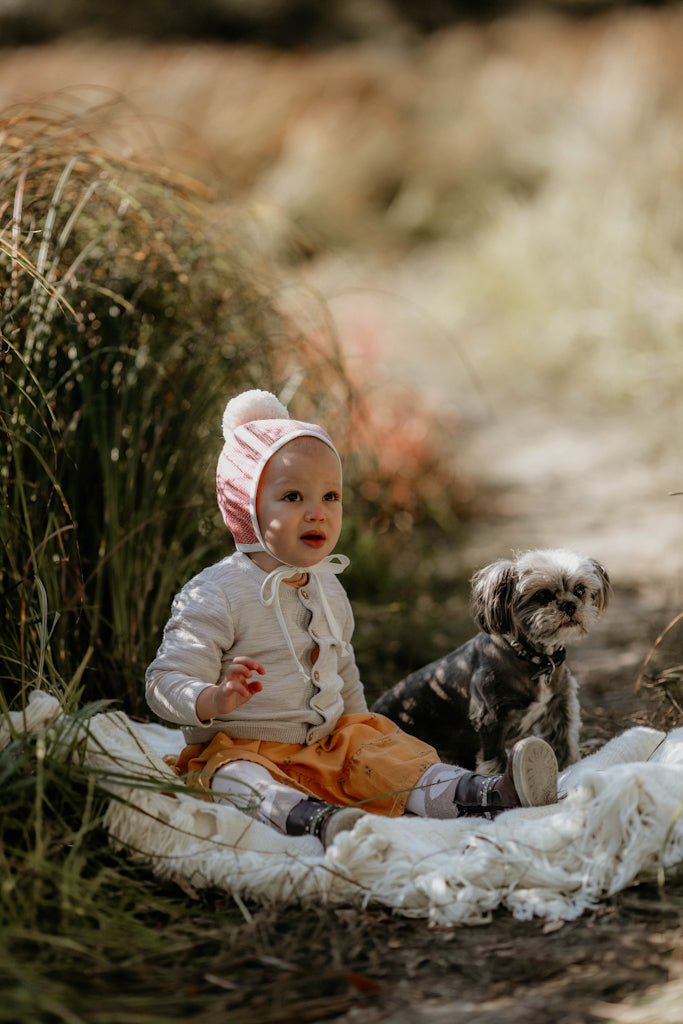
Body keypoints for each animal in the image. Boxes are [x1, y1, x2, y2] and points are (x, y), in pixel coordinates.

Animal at [370, 548, 610, 770]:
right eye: (541, 596)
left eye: (580, 590)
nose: (569, 605)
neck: (531, 657)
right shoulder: (491, 720)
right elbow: (495, 762)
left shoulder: (558, 706)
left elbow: (563, 743)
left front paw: (568, 768)